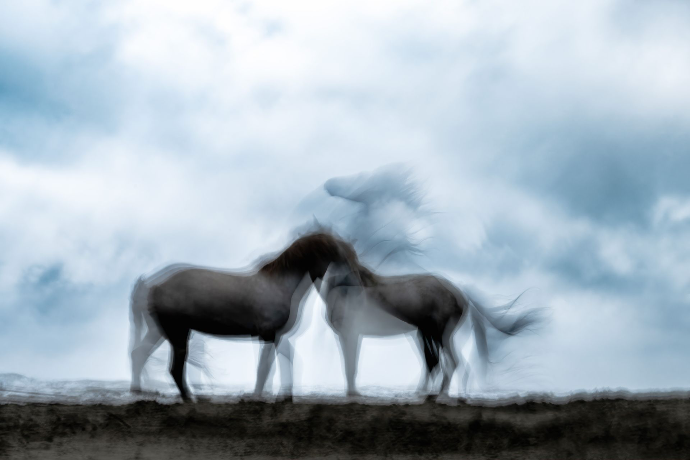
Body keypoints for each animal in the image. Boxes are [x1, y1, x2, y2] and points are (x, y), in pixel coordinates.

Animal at [129, 231, 361, 401]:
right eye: (337, 256)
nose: (353, 283)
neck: (277, 285)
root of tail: (154, 286)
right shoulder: (267, 334)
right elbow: (264, 367)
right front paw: (258, 396)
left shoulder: (274, 335)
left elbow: (281, 359)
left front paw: (284, 395)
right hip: (177, 333)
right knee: (174, 369)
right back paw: (189, 399)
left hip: (160, 331)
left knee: (139, 353)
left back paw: (139, 390)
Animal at [321, 264, 544, 397]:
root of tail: (460, 294)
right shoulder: (349, 336)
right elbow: (349, 363)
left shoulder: (350, 335)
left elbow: (350, 364)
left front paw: (352, 393)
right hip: (431, 334)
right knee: (439, 362)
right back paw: (435, 392)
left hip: (439, 334)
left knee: (449, 361)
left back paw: (439, 393)